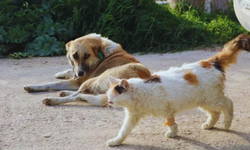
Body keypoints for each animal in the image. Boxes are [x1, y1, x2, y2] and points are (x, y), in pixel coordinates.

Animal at [106, 34, 250, 146]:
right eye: (108, 95)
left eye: (115, 95)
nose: (109, 101)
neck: (139, 94)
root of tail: (211, 62)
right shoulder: (133, 116)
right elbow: (123, 131)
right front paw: (115, 141)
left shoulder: (166, 107)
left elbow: (171, 122)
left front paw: (173, 133)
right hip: (204, 101)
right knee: (215, 113)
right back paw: (209, 125)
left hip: (212, 99)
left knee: (228, 104)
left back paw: (227, 124)